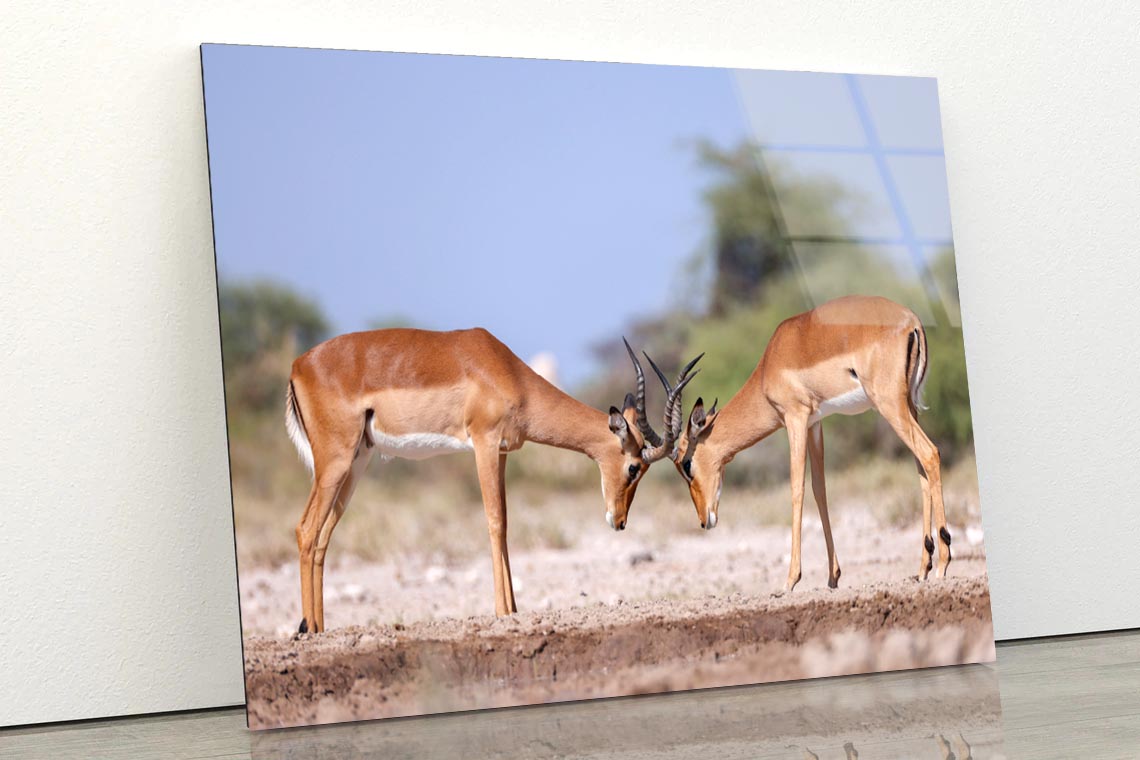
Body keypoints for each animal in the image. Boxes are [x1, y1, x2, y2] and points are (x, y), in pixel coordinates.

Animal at [284, 327, 699, 632]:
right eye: (634, 467)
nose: (619, 521)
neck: (507, 372)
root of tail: (298, 366)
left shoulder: (500, 452)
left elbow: (507, 525)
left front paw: (513, 609)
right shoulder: (483, 444)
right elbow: (494, 521)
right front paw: (502, 611)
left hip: (356, 463)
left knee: (322, 537)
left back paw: (318, 627)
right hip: (335, 462)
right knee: (306, 529)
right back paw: (306, 629)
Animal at [661, 295, 949, 592]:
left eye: (686, 464)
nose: (704, 520)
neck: (770, 364)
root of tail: (912, 321)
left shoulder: (795, 419)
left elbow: (796, 487)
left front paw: (790, 580)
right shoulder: (814, 424)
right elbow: (819, 489)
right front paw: (833, 577)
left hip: (889, 404)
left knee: (930, 453)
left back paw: (942, 564)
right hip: (909, 405)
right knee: (921, 468)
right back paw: (923, 568)